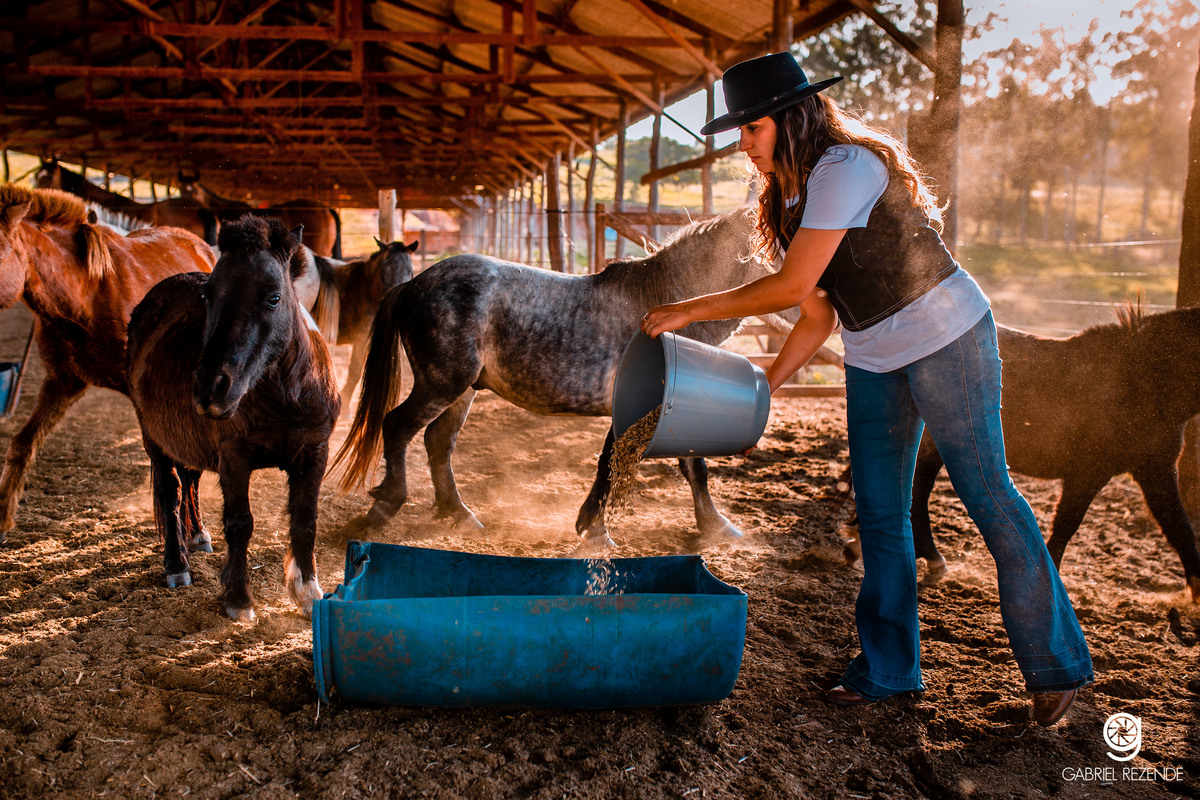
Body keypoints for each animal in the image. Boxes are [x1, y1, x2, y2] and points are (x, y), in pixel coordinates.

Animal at [126, 216, 340, 620]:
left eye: (273, 297)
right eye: (208, 296)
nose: (210, 386)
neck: (286, 397)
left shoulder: (314, 453)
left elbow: (305, 521)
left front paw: (307, 592)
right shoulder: (234, 458)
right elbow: (240, 524)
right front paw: (239, 600)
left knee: (190, 479)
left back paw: (197, 536)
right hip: (154, 439)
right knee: (169, 492)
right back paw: (177, 565)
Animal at [332, 209, 798, 548]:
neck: (663, 305)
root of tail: (414, 284)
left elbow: (684, 466)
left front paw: (715, 527)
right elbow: (622, 466)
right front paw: (596, 531)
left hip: (461, 390)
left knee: (437, 443)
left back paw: (459, 514)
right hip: (442, 383)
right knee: (397, 427)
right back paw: (386, 505)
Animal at [842, 304, 1200, 603]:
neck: (1140, 380)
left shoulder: (1156, 471)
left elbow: (1179, 527)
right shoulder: (1087, 474)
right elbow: (1065, 526)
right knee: (915, 496)